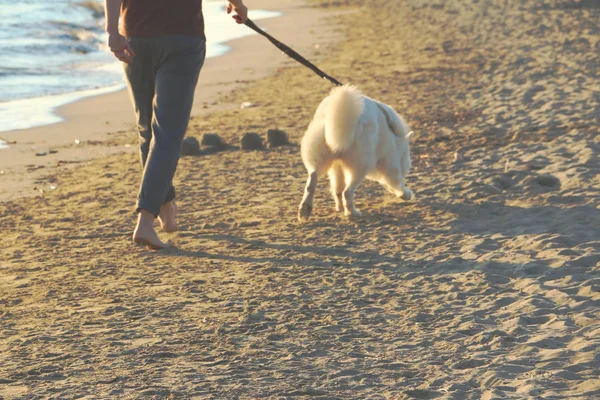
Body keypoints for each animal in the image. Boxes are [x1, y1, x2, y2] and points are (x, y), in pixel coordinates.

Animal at [298, 85, 412, 222]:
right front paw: (405, 194)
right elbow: (397, 182)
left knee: (313, 182)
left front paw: (339, 208)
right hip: (360, 166)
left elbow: (337, 189)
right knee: (347, 192)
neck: (395, 136)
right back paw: (353, 212)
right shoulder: (390, 161)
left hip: (319, 157)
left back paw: (305, 210)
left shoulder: (337, 166)